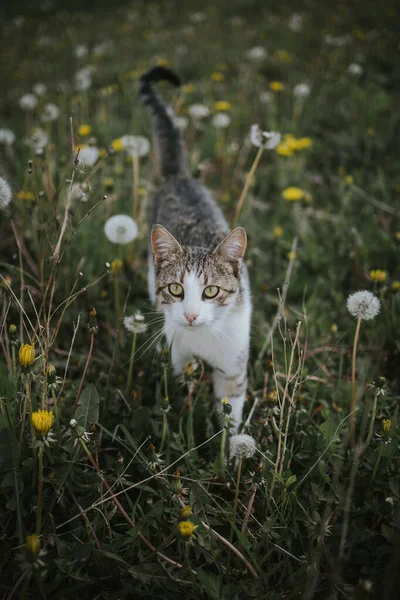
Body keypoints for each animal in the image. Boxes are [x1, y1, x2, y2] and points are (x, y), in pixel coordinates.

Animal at [138, 67, 250, 432]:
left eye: (211, 291)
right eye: (176, 288)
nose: (189, 315)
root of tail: (179, 177)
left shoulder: (233, 367)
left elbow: (231, 414)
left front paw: (230, 447)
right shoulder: (179, 357)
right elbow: (180, 387)